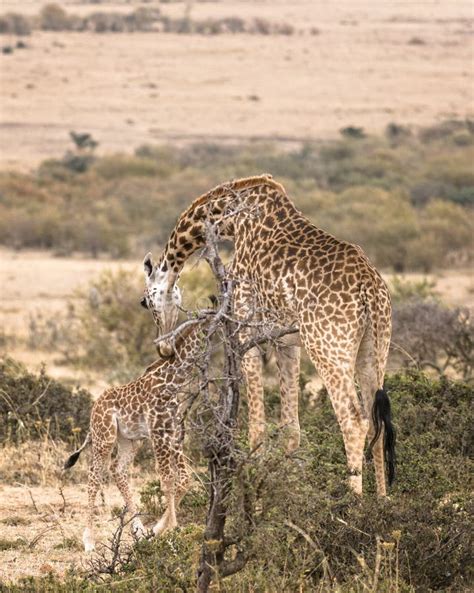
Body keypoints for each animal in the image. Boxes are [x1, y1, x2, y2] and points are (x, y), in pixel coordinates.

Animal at [63, 320, 206, 552]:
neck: (172, 380)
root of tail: (94, 407)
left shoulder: (174, 432)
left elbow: (185, 479)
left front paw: (158, 529)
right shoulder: (158, 432)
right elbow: (168, 479)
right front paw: (171, 533)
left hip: (130, 440)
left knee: (118, 470)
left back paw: (138, 530)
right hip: (104, 437)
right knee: (94, 476)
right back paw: (89, 541)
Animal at [143, 173, 394, 492]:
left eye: (145, 302)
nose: (163, 348)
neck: (231, 220)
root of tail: (369, 288)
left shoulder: (244, 329)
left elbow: (256, 427)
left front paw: (250, 484)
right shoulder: (287, 341)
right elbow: (291, 427)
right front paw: (290, 490)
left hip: (327, 346)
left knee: (353, 420)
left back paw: (354, 501)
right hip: (375, 346)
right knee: (376, 420)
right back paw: (382, 501)